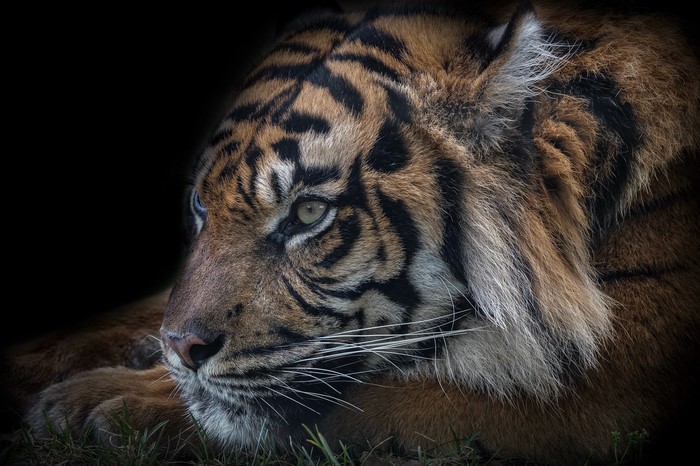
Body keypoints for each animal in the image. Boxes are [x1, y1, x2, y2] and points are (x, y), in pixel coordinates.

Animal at [2, 0, 699, 464]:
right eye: (201, 204)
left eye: (309, 215)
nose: (179, 349)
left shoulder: (604, 384)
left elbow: (356, 399)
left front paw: (100, 404)